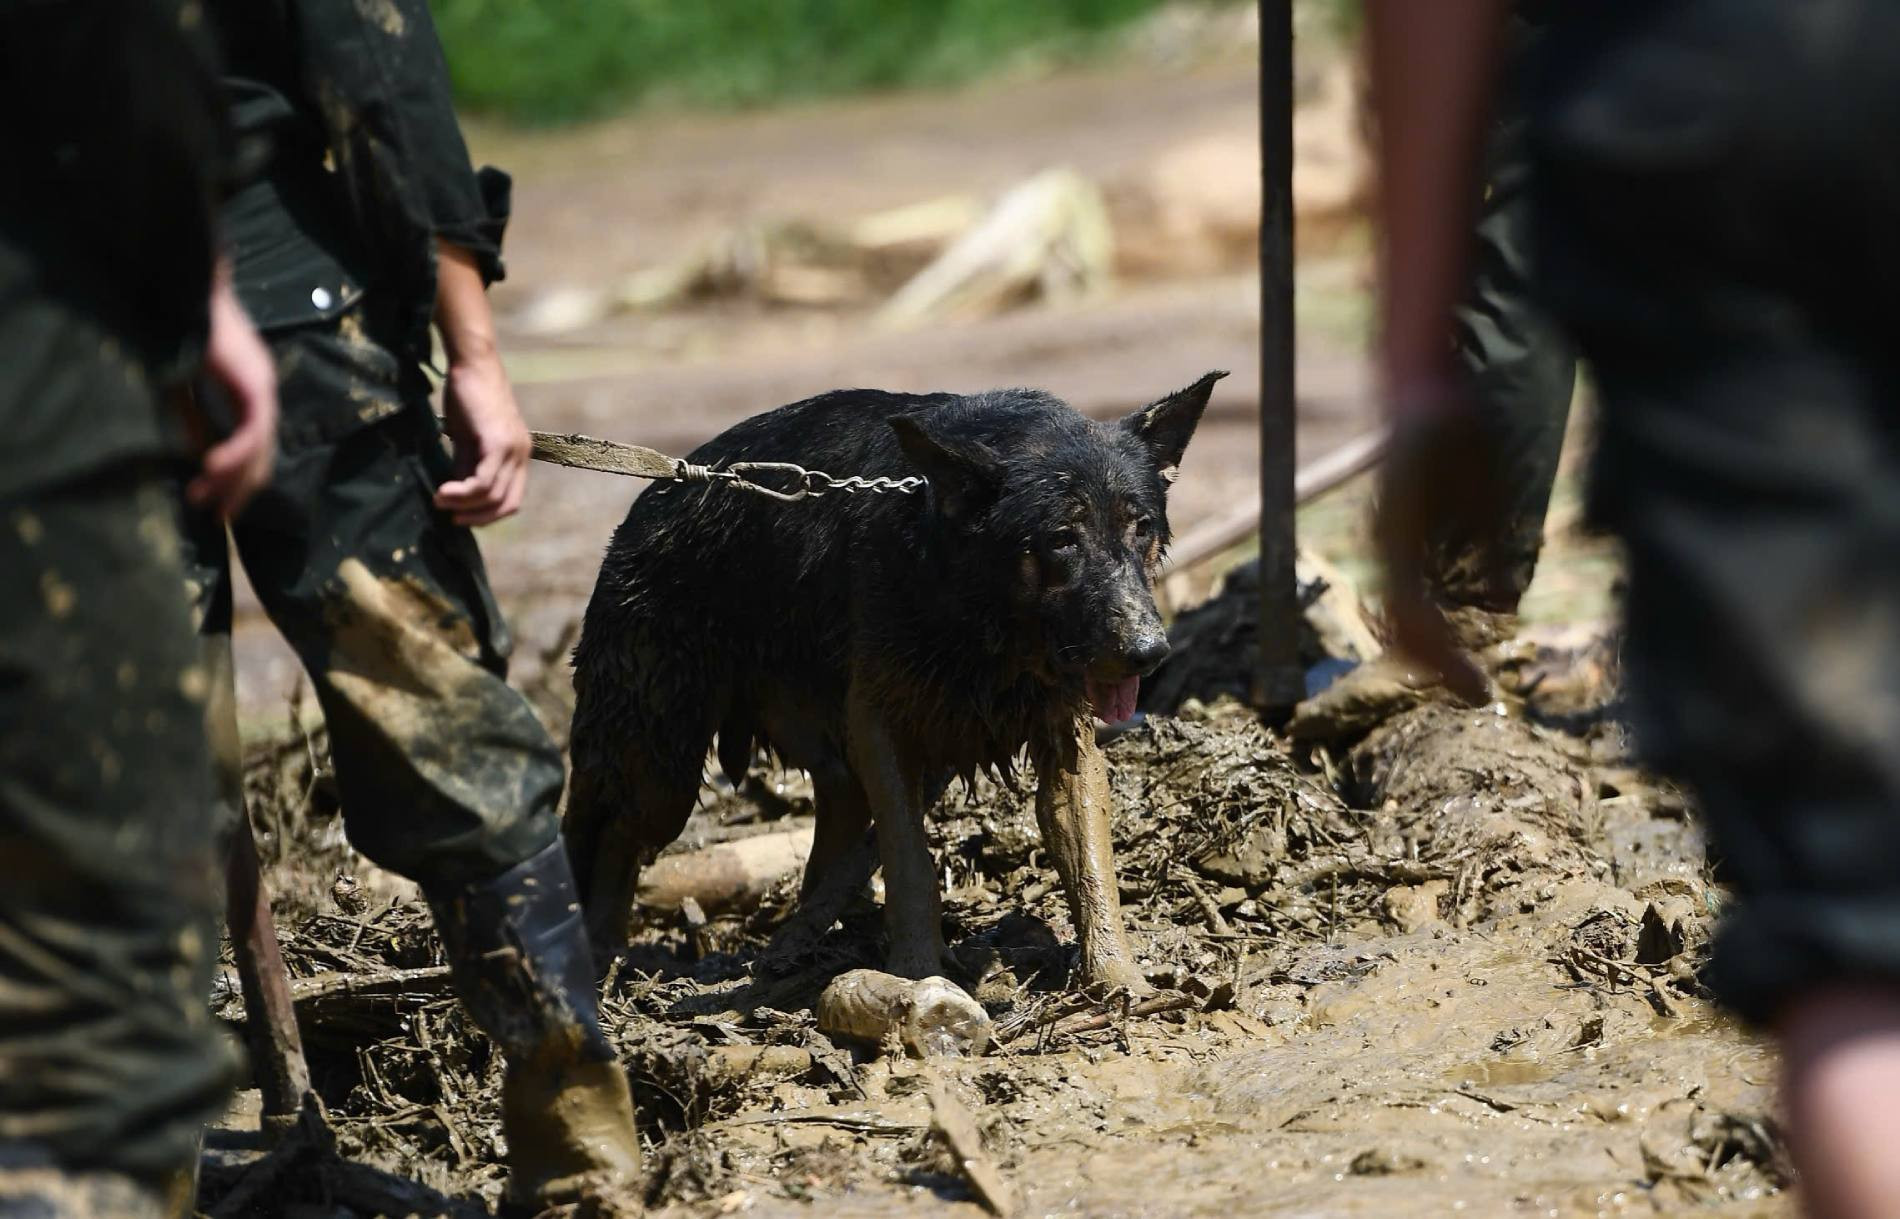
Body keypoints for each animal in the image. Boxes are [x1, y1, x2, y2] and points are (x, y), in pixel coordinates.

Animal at [562, 370, 1223, 987]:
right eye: (1063, 539)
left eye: (1141, 528)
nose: (1149, 653)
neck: (973, 607)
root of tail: (655, 495)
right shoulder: (881, 726)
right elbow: (910, 861)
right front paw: (917, 969)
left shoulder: (1064, 733)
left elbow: (1089, 853)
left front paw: (1118, 977)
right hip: (659, 769)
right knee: (607, 830)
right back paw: (599, 954)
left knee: (836, 821)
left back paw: (808, 938)